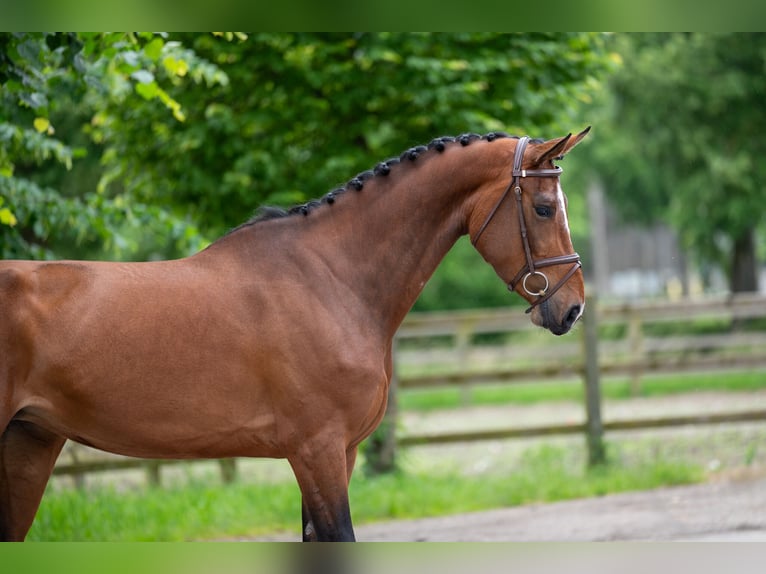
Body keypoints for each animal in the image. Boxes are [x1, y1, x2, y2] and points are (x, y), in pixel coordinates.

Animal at [0, 128, 592, 544]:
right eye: (544, 209)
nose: (572, 308)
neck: (329, 276)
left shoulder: (340, 454)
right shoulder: (317, 451)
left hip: (29, 443)